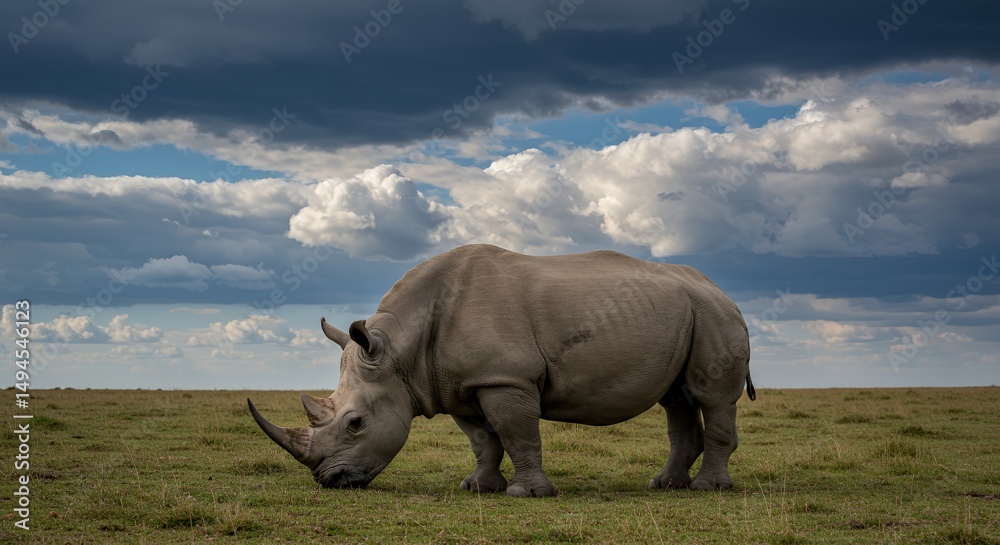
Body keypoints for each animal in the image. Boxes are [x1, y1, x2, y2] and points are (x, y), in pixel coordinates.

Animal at [249, 244, 755, 497]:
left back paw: (709, 489)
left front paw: (526, 494)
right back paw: (666, 486)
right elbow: (483, 440)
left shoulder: (505, 378)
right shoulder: (458, 383)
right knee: (677, 399)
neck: (400, 352)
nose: (328, 481)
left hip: (714, 314)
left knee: (711, 397)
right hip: (688, 312)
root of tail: (722, 289)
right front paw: (478, 488)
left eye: (355, 423)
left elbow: (517, 433)